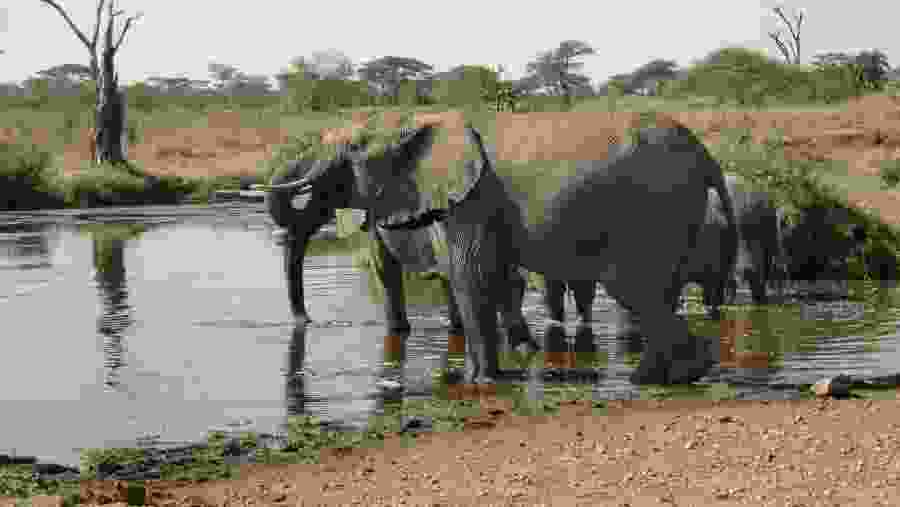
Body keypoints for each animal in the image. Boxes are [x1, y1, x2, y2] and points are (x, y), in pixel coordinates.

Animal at [393, 119, 738, 385]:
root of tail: (704, 153)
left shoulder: (469, 201)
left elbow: (470, 278)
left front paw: (482, 383)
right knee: (655, 291)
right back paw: (667, 376)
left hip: (658, 207)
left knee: (635, 288)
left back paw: (655, 378)